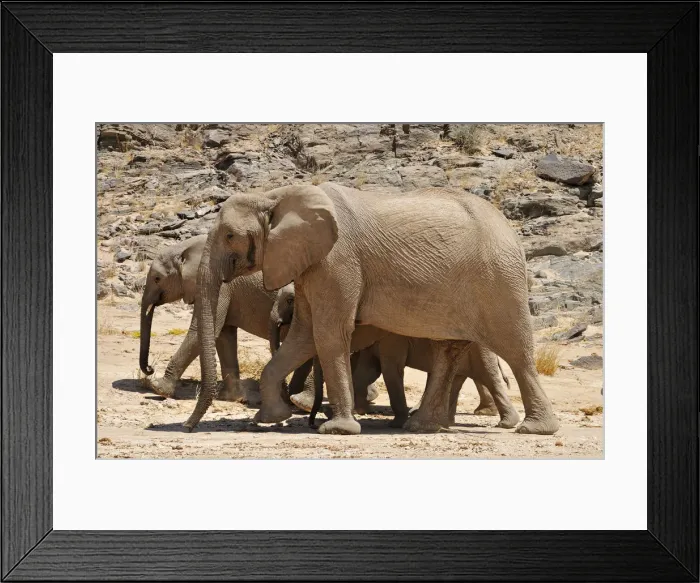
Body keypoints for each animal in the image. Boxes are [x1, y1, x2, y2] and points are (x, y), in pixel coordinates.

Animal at [139, 235, 309, 402]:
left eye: (157, 278)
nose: (150, 369)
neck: (188, 246)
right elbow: (224, 336)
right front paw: (231, 398)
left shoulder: (220, 285)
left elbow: (204, 330)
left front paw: (157, 387)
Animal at [185, 182, 559, 436]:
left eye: (230, 235)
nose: (188, 427)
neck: (275, 194)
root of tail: (510, 228)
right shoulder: (313, 263)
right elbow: (304, 334)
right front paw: (270, 418)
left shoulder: (337, 260)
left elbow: (328, 333)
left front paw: (337, 430)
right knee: (449, 351)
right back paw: (420, 426)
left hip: (499, 279)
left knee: (516, 350)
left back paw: (534, 429)